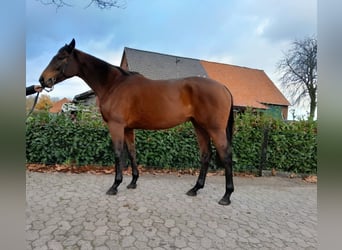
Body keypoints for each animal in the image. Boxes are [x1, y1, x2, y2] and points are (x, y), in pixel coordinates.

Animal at [38, 39, 234, 205]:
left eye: (61, 57)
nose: (42, 79)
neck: (114, 84)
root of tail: (223, 87)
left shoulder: (116, 126)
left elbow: (118, 153)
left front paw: (115, 186)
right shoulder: (128, 129)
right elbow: (132, 152)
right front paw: (133, 182)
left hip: (215, 129)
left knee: (226, 156)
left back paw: (226, 196)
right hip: (199, 126)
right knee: (206, 155)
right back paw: (195, 188)